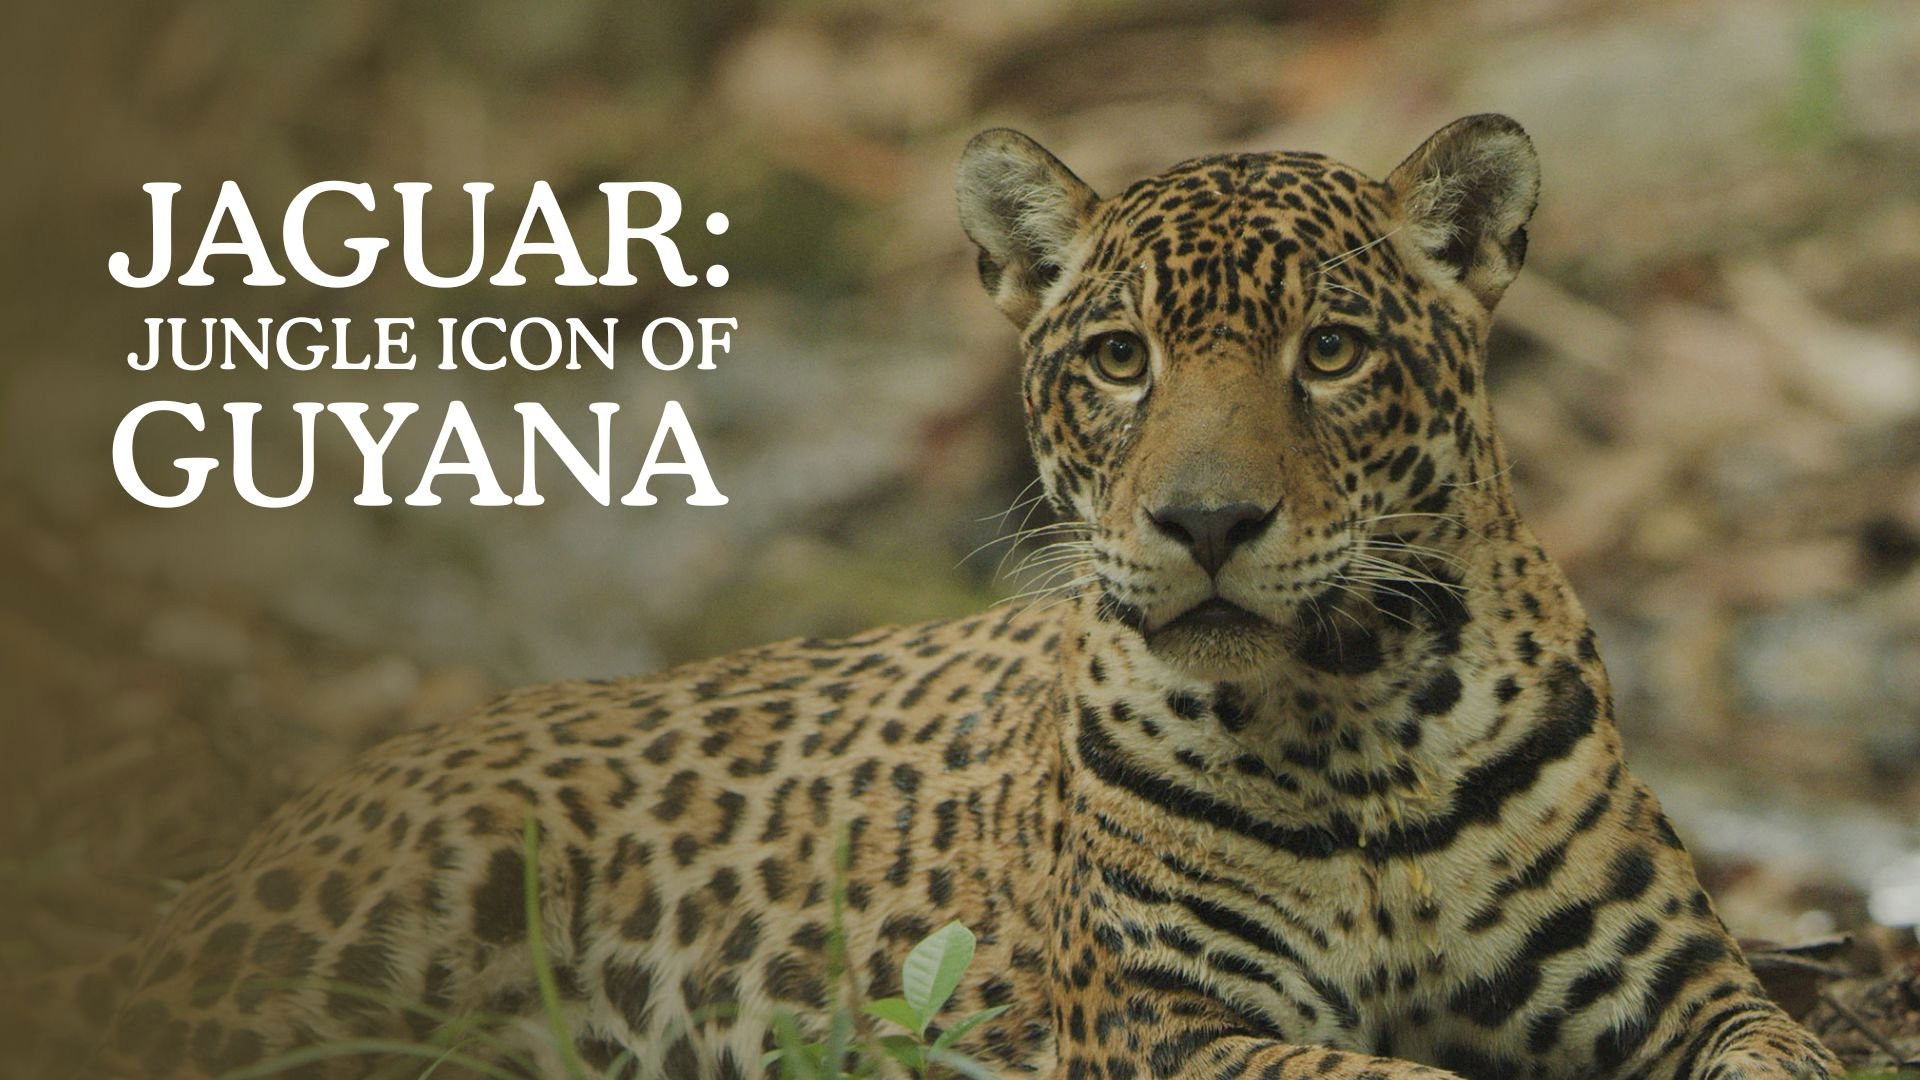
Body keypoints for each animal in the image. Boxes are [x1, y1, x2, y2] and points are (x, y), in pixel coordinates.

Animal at [43, 114, 1839, 1079]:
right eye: (1118, 359)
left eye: (1330, 351)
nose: (1205, 520)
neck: (1353, 711)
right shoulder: (1170, 1027)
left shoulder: (1682, 987)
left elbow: (1784, 1051)